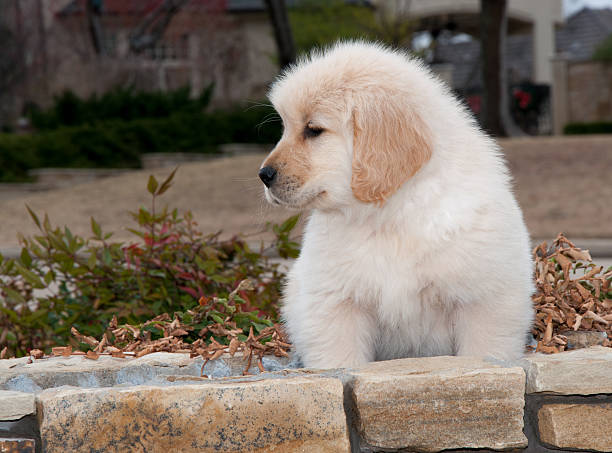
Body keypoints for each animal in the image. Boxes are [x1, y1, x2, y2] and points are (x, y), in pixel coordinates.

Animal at [256, 41, 532, 368]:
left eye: (313, 130)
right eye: (286, 127)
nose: (264, 175)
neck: (391, 212)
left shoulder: (484, 300)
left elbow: (482, 352)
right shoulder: (336, 303)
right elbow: (340, 358)